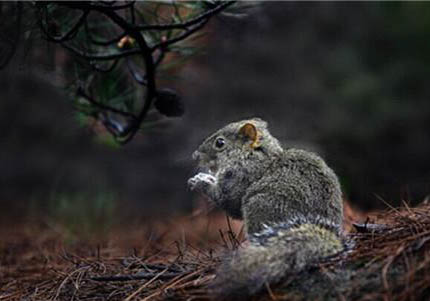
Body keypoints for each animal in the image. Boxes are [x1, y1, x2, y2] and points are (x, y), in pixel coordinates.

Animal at [186, 116, 344, 296]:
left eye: (220, 143)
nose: (195, 155)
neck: (251, 154)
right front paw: (207, 177)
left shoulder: (240, 176)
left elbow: (228, 201)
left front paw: (200, 181)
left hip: (260, 207)